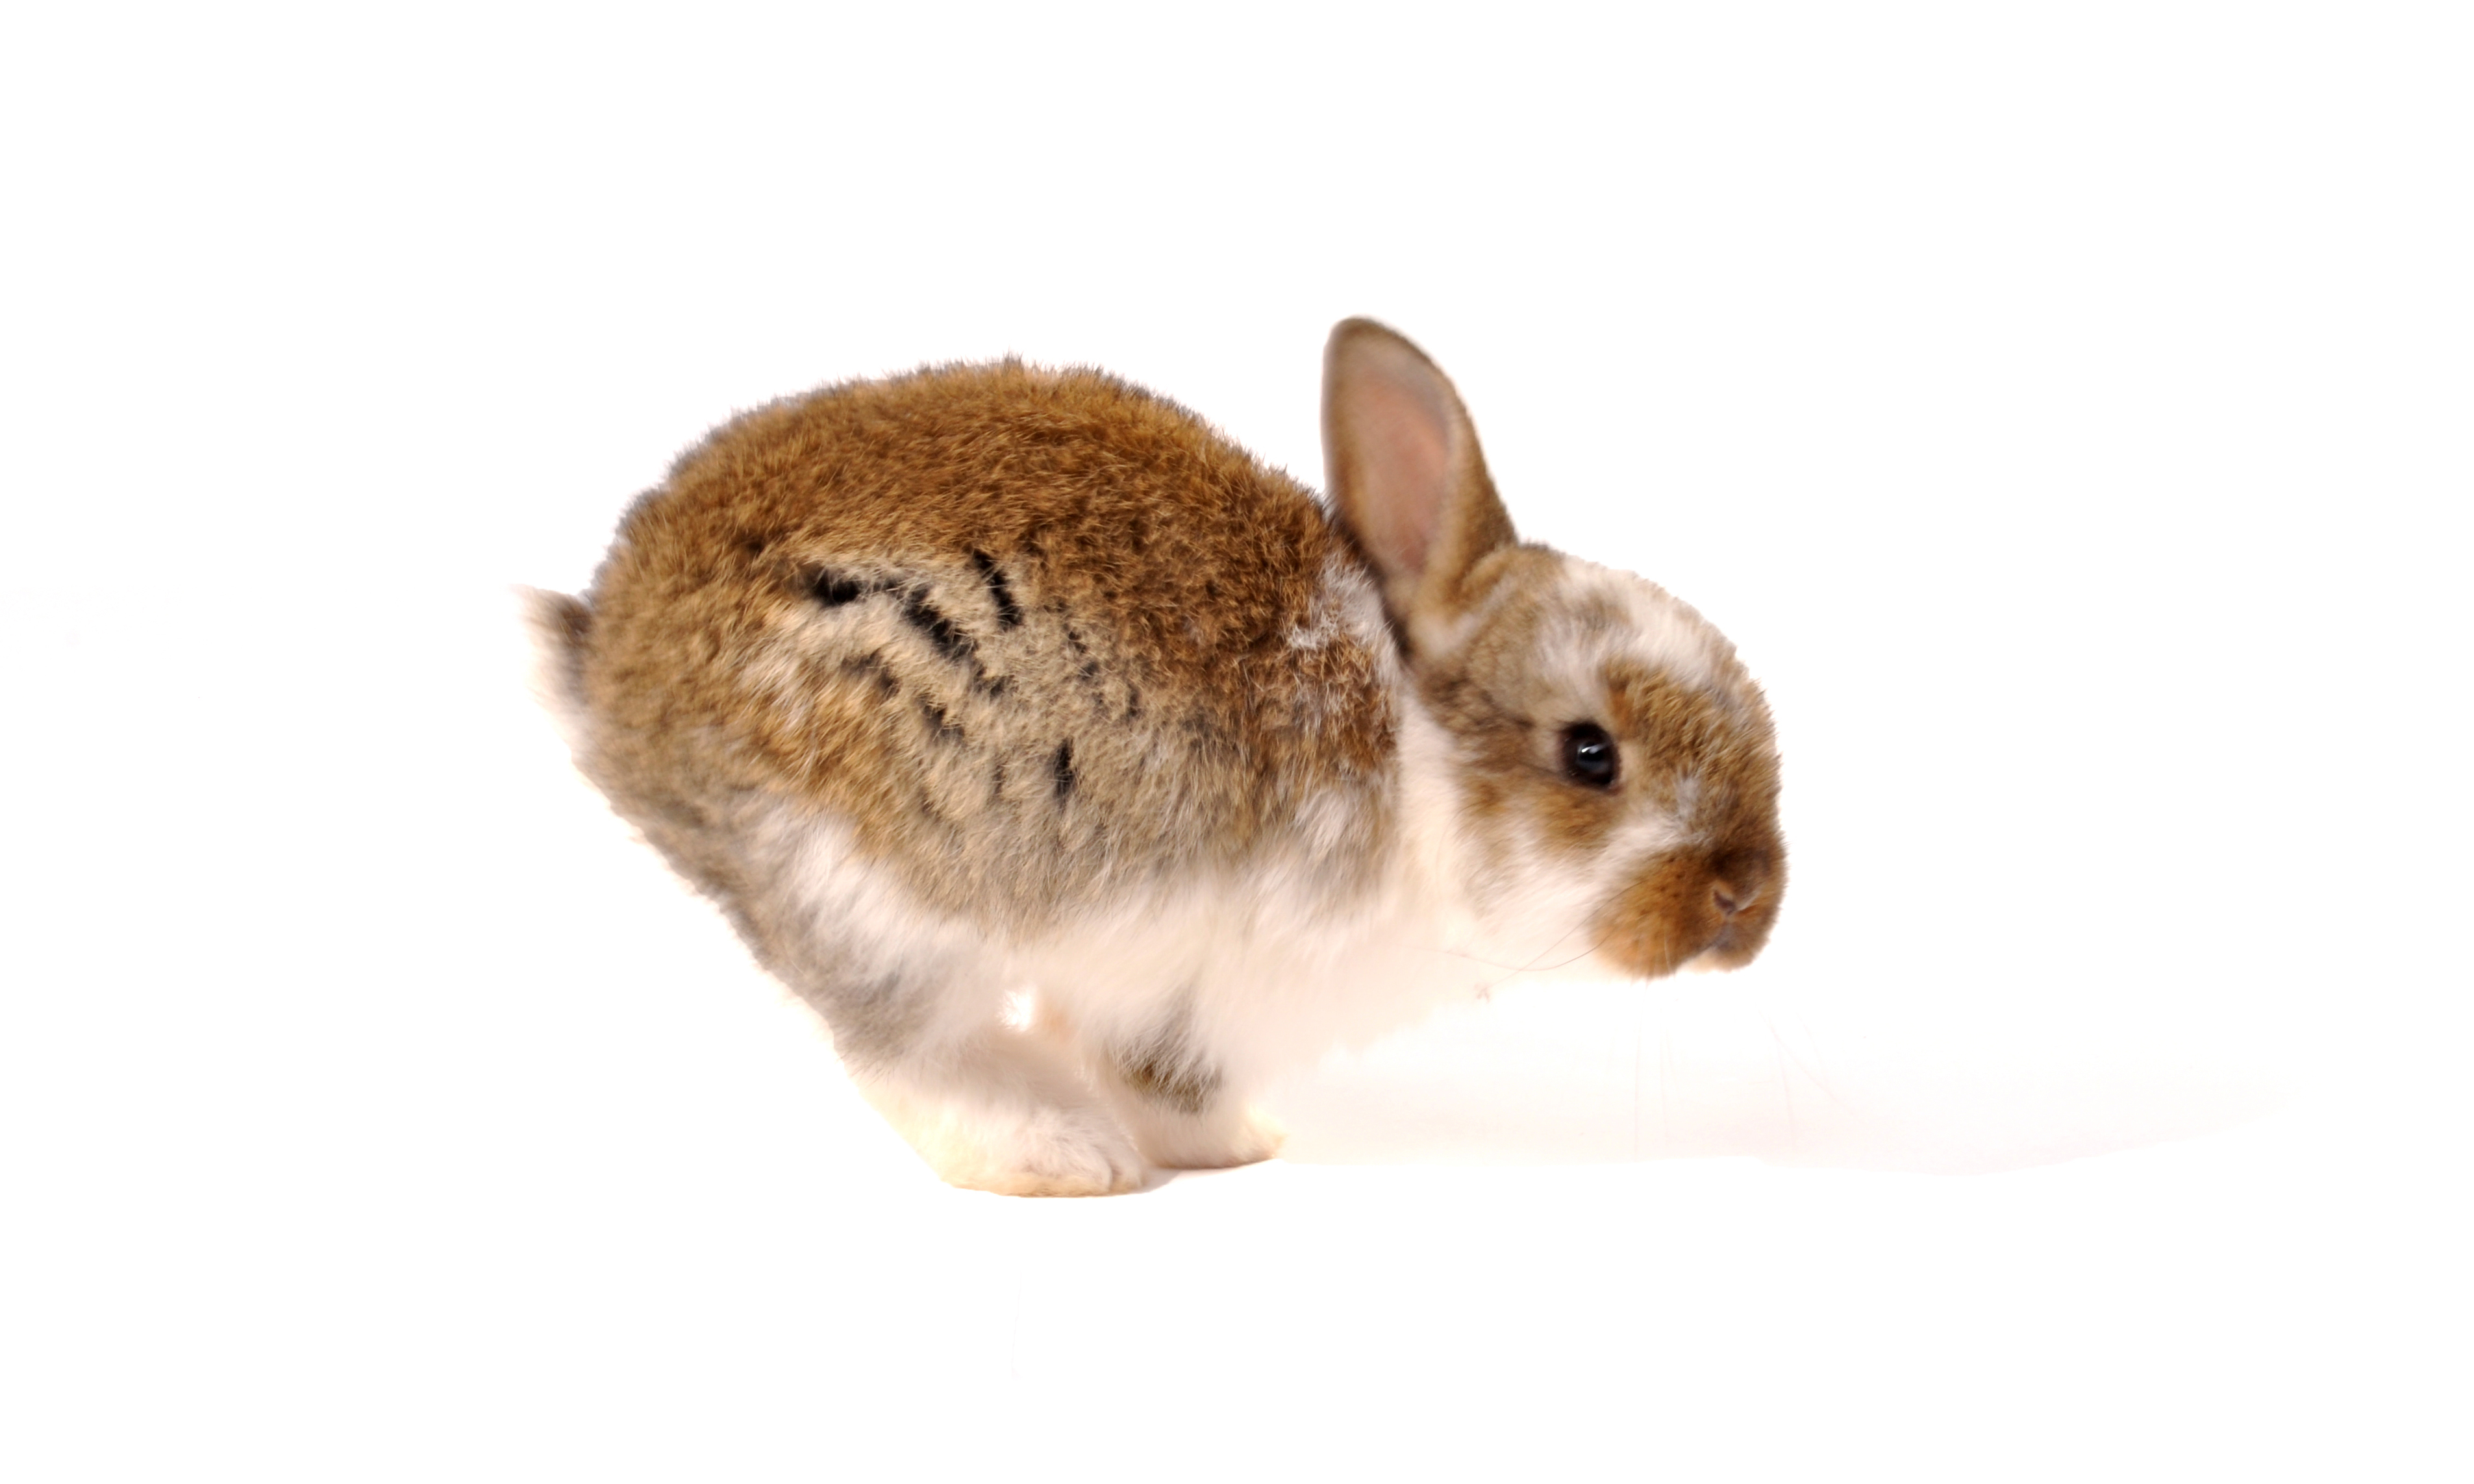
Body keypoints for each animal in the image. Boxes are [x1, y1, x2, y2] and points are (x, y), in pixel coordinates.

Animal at [526, 318, 1784, 1196]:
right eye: (1590, 754)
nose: (1746, 894)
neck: (1410, 756)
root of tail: (611, 659)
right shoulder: (1198, 971)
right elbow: (1162, 1074)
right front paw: (1235, 1144)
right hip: (872, 889)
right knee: (905, 1053)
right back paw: (1055, 1153)